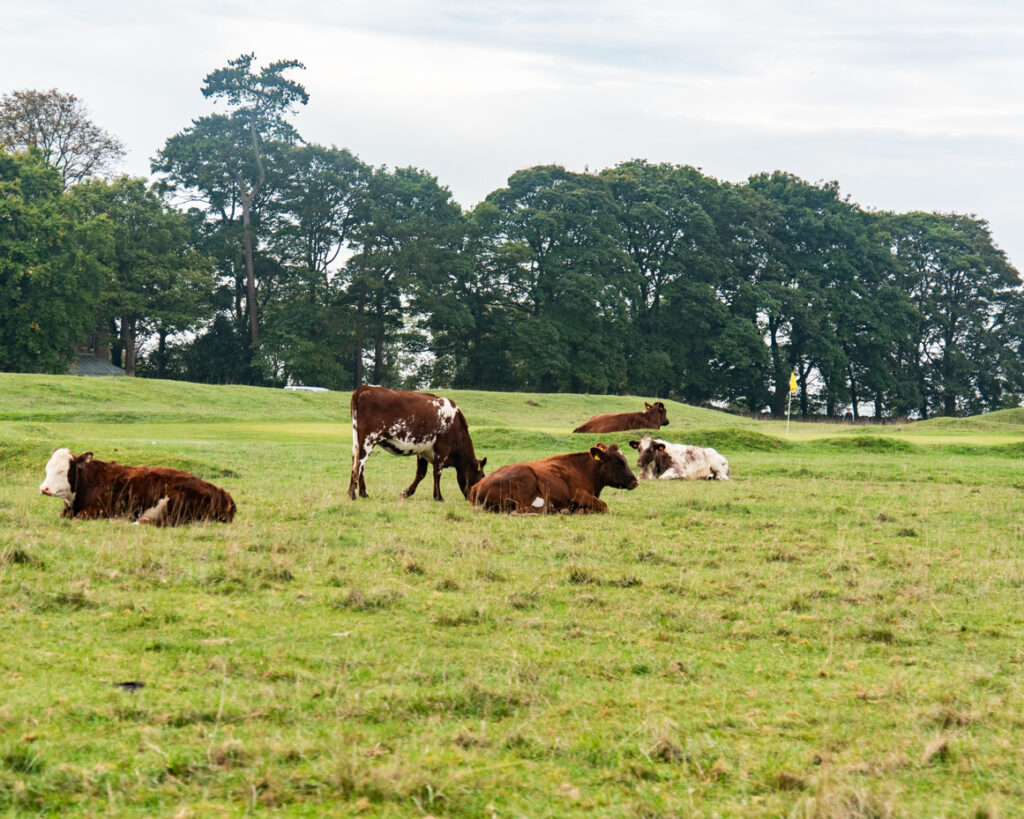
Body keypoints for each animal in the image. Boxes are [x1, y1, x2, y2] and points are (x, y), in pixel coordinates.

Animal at [39, 448, 237, 525]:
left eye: (62, 470)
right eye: (47, 468)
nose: (44, 488)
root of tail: (222, 493)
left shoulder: (101, 509)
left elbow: (80, 516)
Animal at [348, 385, 486, 501]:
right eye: (481, 478)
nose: (477, 500)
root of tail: (365, 388)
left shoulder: (423, 450)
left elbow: (421, 473)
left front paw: (406, 493)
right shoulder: (443, 448)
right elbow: (437, 472)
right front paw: (438, 497)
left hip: (359, 441)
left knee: (357, 462)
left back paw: (362, 493)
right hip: (368, 439)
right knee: (358, 464)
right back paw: (353, 494)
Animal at [468, 443, 638, 514]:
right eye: (618, 462)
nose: (635, 481)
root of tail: (475, 487)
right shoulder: (579, 494)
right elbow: (604, 505)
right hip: (526, 480)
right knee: (522, 510)